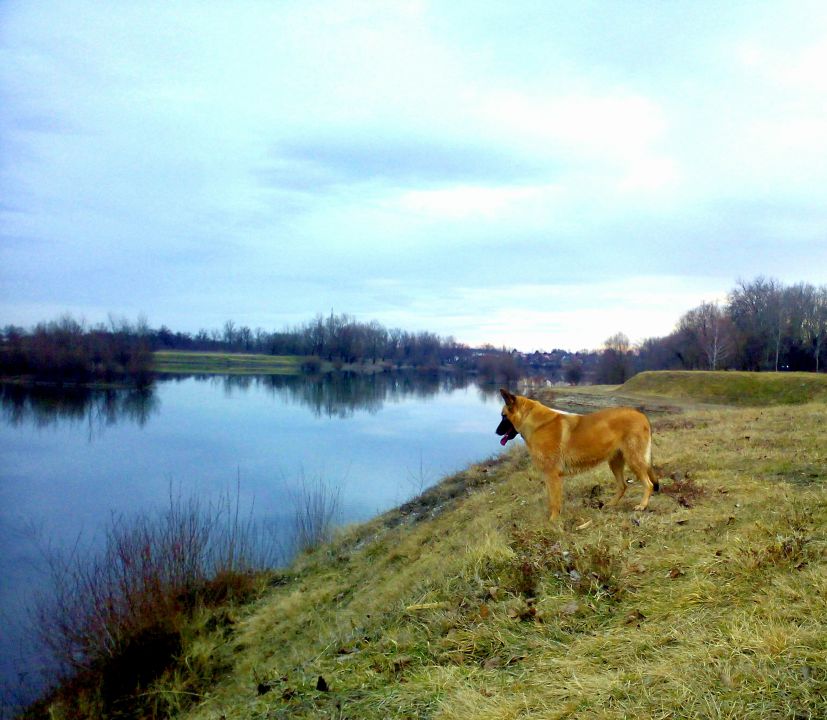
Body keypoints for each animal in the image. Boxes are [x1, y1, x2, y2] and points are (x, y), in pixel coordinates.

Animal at [498, 390, 660, 520]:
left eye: (504, 416)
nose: (496, 432)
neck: (536, 423)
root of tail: (640, 414)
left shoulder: (552, 475)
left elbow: (554, 501)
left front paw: (553, 521)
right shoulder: (550, 477)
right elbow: (552, 499)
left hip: (634, 460)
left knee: (649, 484)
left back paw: (642, 505)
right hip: (615, 462)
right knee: (623, 486)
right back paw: (611, 504)